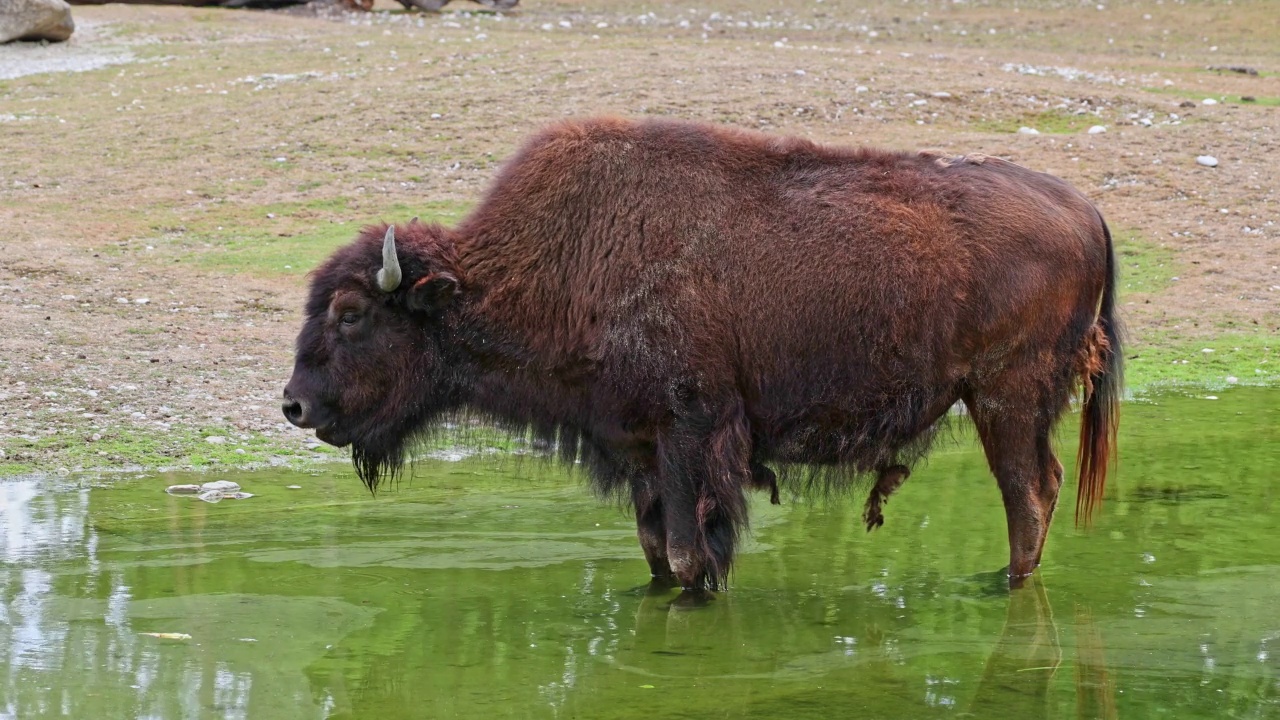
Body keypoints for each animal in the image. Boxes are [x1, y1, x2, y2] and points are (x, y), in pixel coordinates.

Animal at [282, 114, 1121, 591]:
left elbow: (690, 553)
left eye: (351, 313)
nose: (293, 404)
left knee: (1029, 491)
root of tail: (1087, 210)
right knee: (1039, 487)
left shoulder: (691, 436)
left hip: (1005, 396)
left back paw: (1005, 586)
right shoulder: (639, 449)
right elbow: (656, 551)